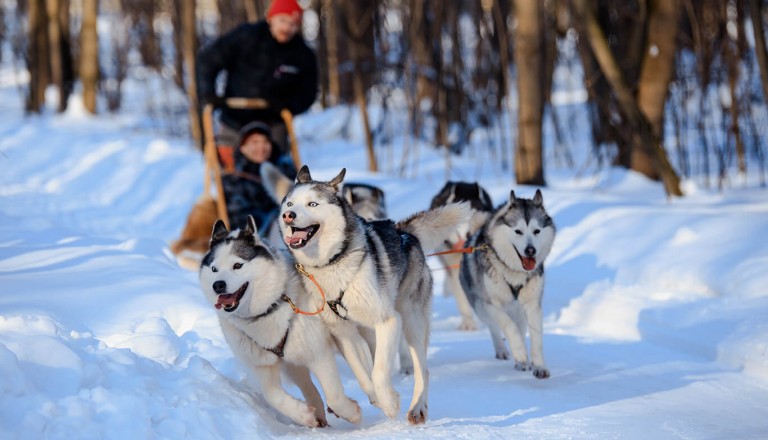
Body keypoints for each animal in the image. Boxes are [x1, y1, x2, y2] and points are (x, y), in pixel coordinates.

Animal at [201, 217, 364, 426]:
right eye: (214, 269)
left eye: (238, 265)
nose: (218, 285)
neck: (268, 309)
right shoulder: (265, 365)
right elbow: (272, 395)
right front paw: (304, 415)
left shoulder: (318, 353)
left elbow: (334, 397)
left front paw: (351, 412)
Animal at [276, 165, 468, 422]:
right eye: (290, 204)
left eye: (312, 204)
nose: (289, 216)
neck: (332, 264)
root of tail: (402, 231)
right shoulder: (343, 334)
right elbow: (363, 374)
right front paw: (378, 398)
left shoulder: (388, 321)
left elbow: (378, 372)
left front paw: (390, 403)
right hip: (369, 332)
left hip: (411, 322)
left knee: (422, 369)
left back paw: (417, 407)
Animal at [460, 189, 556, 378]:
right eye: (518, 231)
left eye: (536, 231)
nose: (530, 250)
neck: (514, 272)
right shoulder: (490, 304)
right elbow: (507, 325)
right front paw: (519, 352)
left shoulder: (533, 306)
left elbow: (536, 339)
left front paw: (539, 366)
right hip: (480, 308)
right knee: (494, 327)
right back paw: (503, 350)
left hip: (519, 311)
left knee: (520, 327)